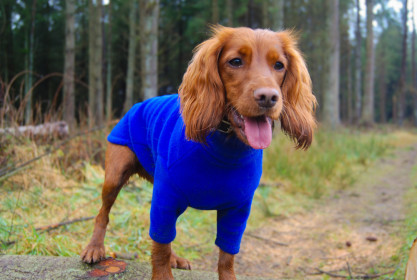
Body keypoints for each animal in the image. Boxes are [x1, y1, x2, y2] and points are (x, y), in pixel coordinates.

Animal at [80, 25, 316, 278]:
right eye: (235, 61)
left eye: (279, 65)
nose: (269, 97)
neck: (226, 146)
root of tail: (137, 104)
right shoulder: (166, 196)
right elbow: (160, 248)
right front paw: (163, 273)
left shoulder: (238, 209)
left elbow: (226, 255)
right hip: (115, 176)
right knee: (103, 214)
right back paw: (94, 248)